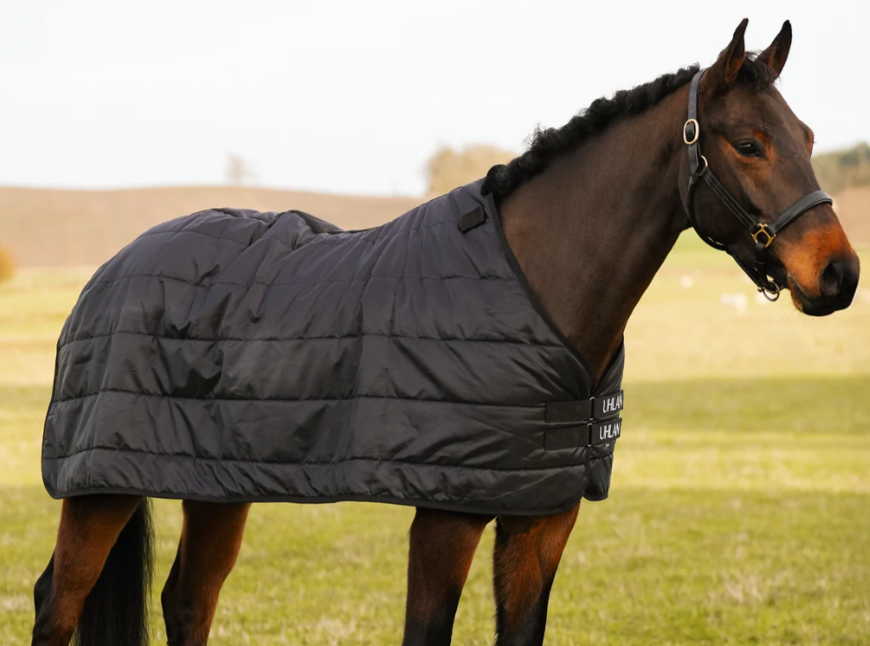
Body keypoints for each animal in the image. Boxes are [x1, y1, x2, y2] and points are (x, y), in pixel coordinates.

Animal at [31, 18, 859, 646]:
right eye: (748, 142)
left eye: (808, 133)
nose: (840, 274)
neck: (532, 285)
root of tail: (114, 267)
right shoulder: (446, 516)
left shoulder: (542, 516)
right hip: (99, 488)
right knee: (58, 601)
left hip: (215, 485)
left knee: (187, 601)